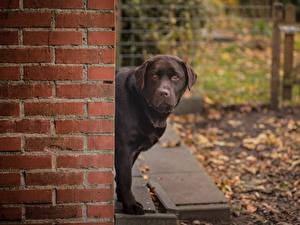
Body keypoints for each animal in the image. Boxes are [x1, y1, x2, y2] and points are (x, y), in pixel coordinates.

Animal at [115, 54, 197, 214]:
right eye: (154, 76)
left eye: (175, 77)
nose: (163, 93)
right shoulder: (124, 149)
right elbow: (126, 178)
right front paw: (130, 205)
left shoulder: (133, 152)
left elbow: (122, 176)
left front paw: (121, 198)